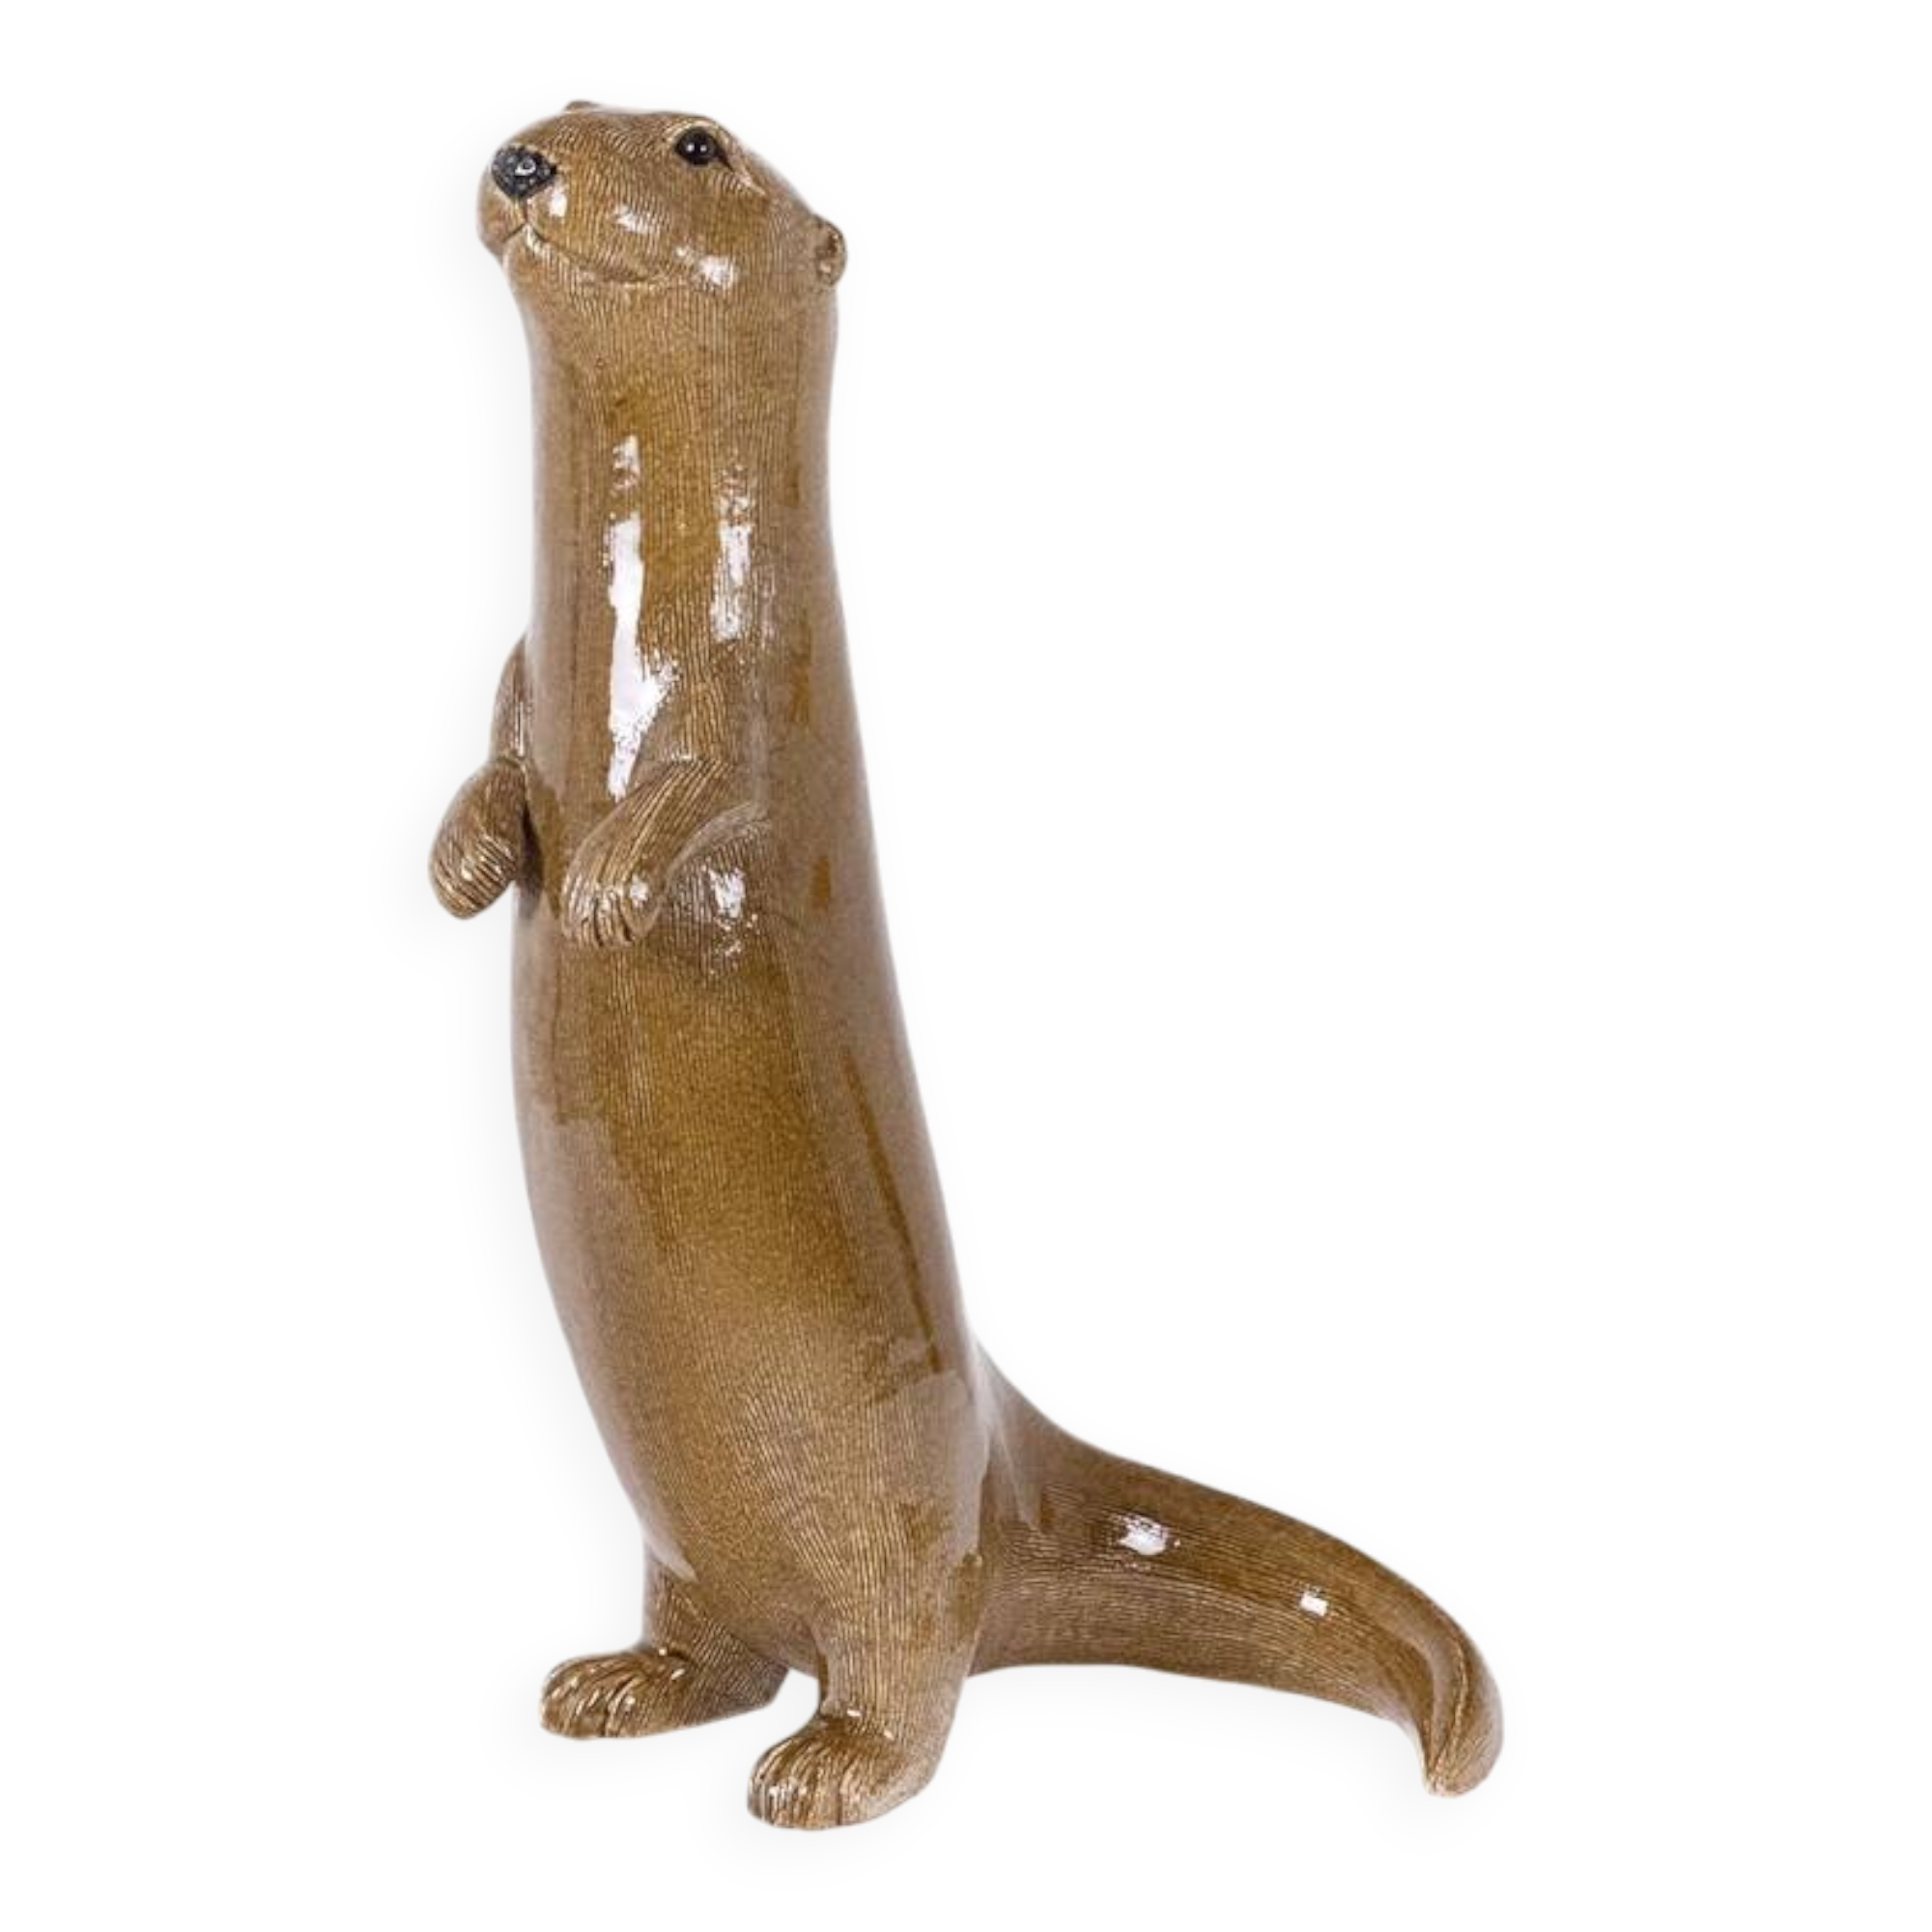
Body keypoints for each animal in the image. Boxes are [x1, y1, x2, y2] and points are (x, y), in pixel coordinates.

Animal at [428, 102, 1504, 1830]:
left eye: (697, 143)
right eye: (550, 126)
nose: (525, 162)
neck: (637, 653)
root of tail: (1008, 1468)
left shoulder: (766, 707)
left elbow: (718, 795)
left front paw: (607, 881)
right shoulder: (524, 673)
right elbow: (493, 753)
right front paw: (475, 860)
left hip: (896, 1520)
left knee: (906, 1662)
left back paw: (828, 1765)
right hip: (682, 1533)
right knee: (717, 1642)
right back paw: (618, 1685)